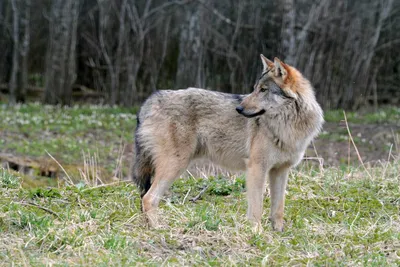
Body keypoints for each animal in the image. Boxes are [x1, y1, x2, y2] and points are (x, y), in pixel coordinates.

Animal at [133, 55, 324, 232]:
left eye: (263, 90)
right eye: (255, 89)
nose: (239, 109)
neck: (288, 126)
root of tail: (150, 100)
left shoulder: (281, 170)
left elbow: (278, 209)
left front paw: (278, 233)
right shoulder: (256, 168)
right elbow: (256, 208)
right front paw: (257, 232)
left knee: (145, 198)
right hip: (175, 165)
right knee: (148, 198)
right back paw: (158, 229)